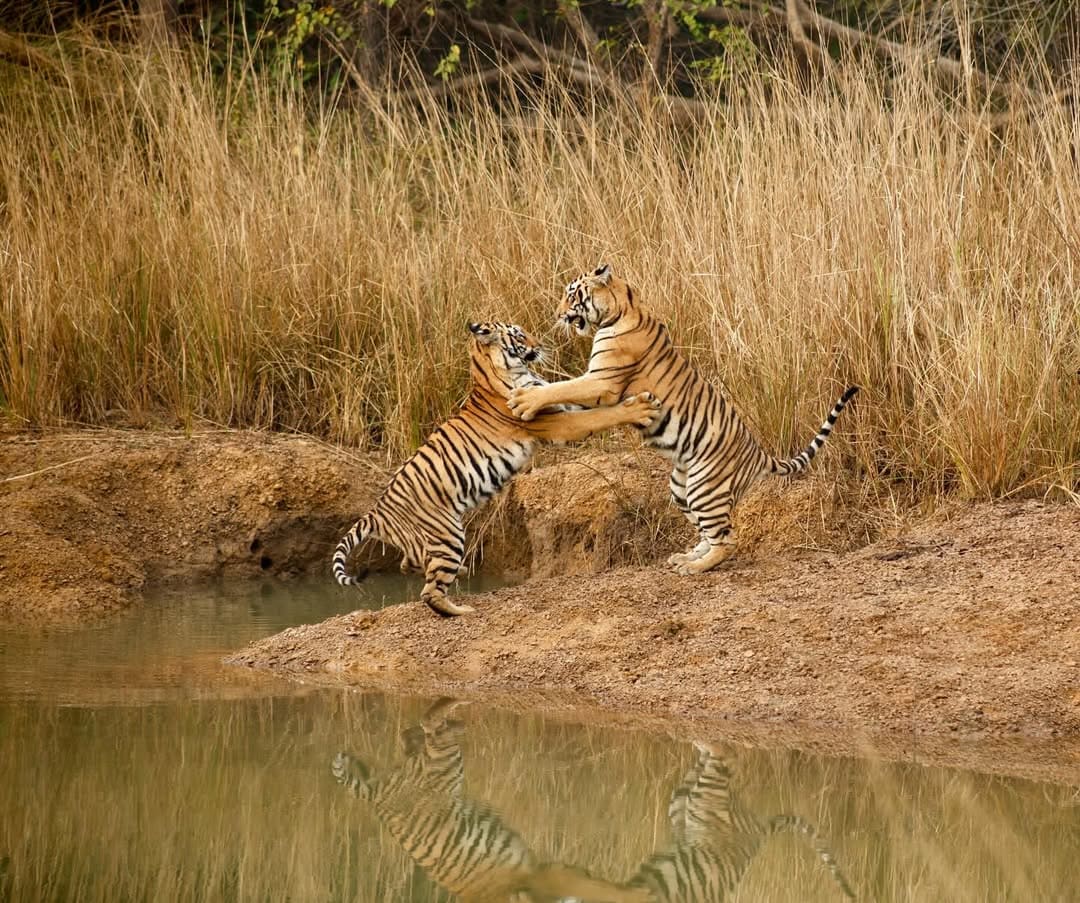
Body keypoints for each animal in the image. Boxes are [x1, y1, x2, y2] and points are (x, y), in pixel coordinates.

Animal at [331, 698, 651, 903]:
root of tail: (378, 801)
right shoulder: (546, 877)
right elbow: (597, 888)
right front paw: (638, 892)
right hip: (444, 762)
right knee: (431, 722)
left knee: (420, 730)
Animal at [332, 321, 661, 616]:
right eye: (518, 335)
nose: (540, 344)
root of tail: (377, 512)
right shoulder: (555, 422)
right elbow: (598, 416)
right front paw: (640, 407)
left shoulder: (554, 401)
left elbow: (574, 391)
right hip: (448, 535)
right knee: (429, 592)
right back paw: (462, 610)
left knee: (410, 564)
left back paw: (463, 572)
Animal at [507, 265, 859, 575]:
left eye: (571, 294)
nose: (557, 315)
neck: (623, 307)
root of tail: (759, 455)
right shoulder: (597, 384)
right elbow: (565, 396)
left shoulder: (601, 382)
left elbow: (562, 386)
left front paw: (525, 400)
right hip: (681, 486)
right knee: (710, 534)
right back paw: (686, 557)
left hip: (705, 486)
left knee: (727, 541)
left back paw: (693, 568)